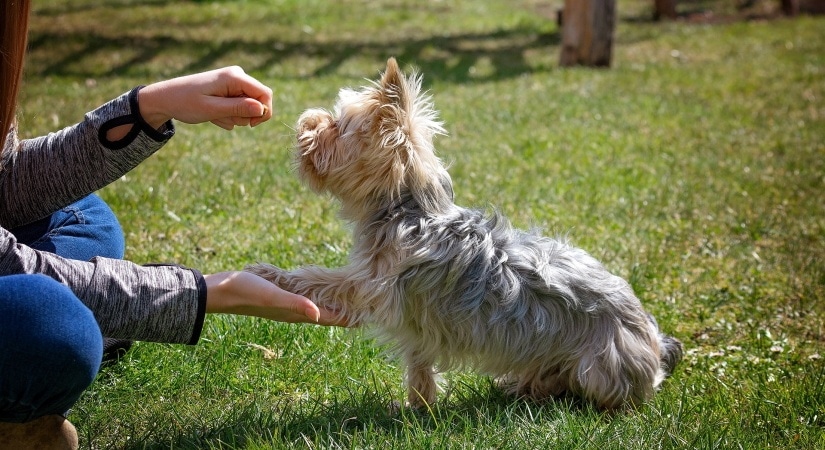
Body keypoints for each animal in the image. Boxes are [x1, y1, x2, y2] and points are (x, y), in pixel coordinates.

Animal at [246, 58, 684, 410]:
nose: (307, 120)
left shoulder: (372, 286)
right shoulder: (414, 322)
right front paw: (417, 407)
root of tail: (654, 339)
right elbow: (419, 365)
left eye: (337, 127)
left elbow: (320, 278)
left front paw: (268, 274)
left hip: (600, 366)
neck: (406, 209)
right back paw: (523, 386)